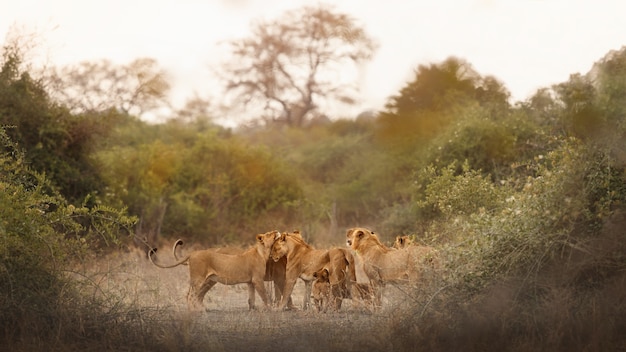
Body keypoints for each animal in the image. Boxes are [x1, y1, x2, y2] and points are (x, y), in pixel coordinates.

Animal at [148, 231, 278, 310]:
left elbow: (251, 298)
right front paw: (269, 308)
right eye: (269, 234)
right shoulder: (257, 280)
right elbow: (265, 295)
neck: (262, 252)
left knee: (197, 295)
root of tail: (192, 253)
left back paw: (200, 309)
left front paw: (253, 309)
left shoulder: (250, 281)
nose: (276, 231)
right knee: (191, 294)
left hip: (208, 280)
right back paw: (195, 311)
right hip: (198, 279)